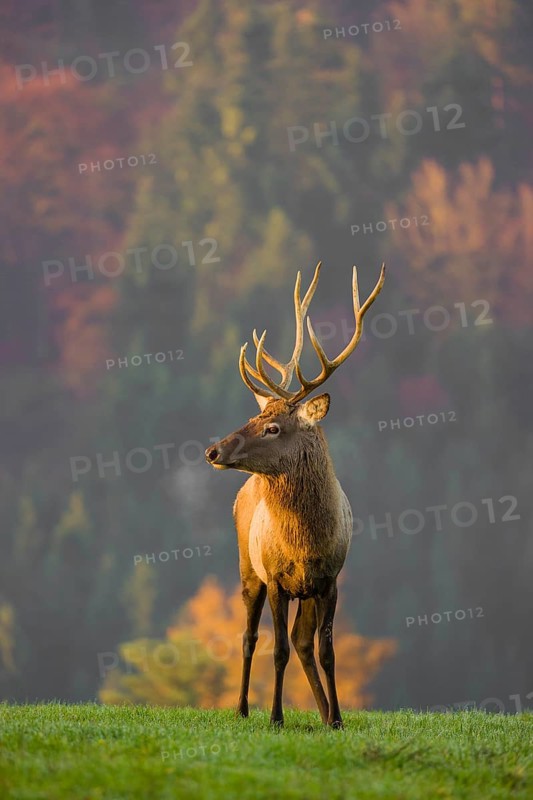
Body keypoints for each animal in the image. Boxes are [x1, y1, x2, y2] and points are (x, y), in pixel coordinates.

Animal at [205, 261, 386, 728]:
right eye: (254, 415)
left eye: (272, 426)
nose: (212, 450)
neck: (304, 544)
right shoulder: (275, 579)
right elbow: (278, 649)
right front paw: (275, 717)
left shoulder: (330, 579)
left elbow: (326, 649)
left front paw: (337, 718)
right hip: (247, 569)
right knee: (250, 637)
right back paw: (243, 708)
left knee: (303, 642)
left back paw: (322, 712)